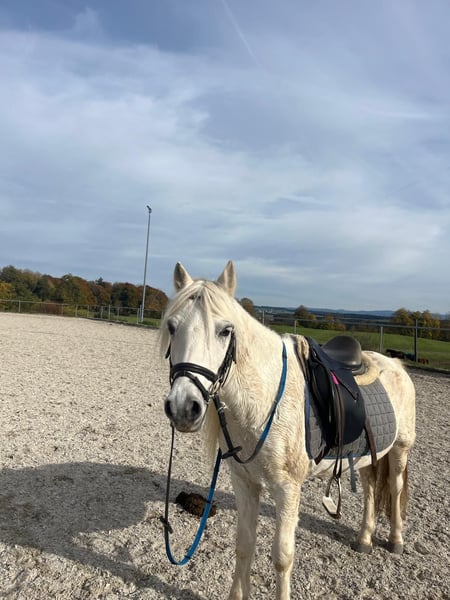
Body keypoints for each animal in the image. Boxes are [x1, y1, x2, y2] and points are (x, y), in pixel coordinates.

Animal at [161, 261, 416, 600]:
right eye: (172, 327)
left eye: (225, 330)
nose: (182, 407)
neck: (264, 398)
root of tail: (395, 364)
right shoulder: (244, 481)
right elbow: (244, 546)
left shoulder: (287, 489)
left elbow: (282, 558)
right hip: (366, 456)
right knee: (372, 490)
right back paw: (364, 538)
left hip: (400, 449)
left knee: (395, 487)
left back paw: (396, 540)